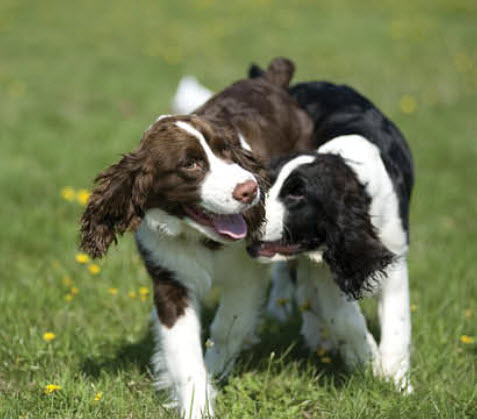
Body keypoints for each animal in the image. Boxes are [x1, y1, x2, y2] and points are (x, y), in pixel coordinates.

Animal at [81, 58, 312, 416]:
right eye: (190, 164)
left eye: (227, 151)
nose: (250, 189)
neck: (198, 236)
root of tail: (271, 80)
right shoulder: (170, 279)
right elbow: (183, 349)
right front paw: (196, 404)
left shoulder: (245, 277)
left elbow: (228, 327)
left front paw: (215, 370)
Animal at [247, 79, 414, 394]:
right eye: (267, 183)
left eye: (297, 194)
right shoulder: (324, 267)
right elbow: (344, 318)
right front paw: (366, 361)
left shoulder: (392, 251)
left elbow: (397, 323)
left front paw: (396, 381)